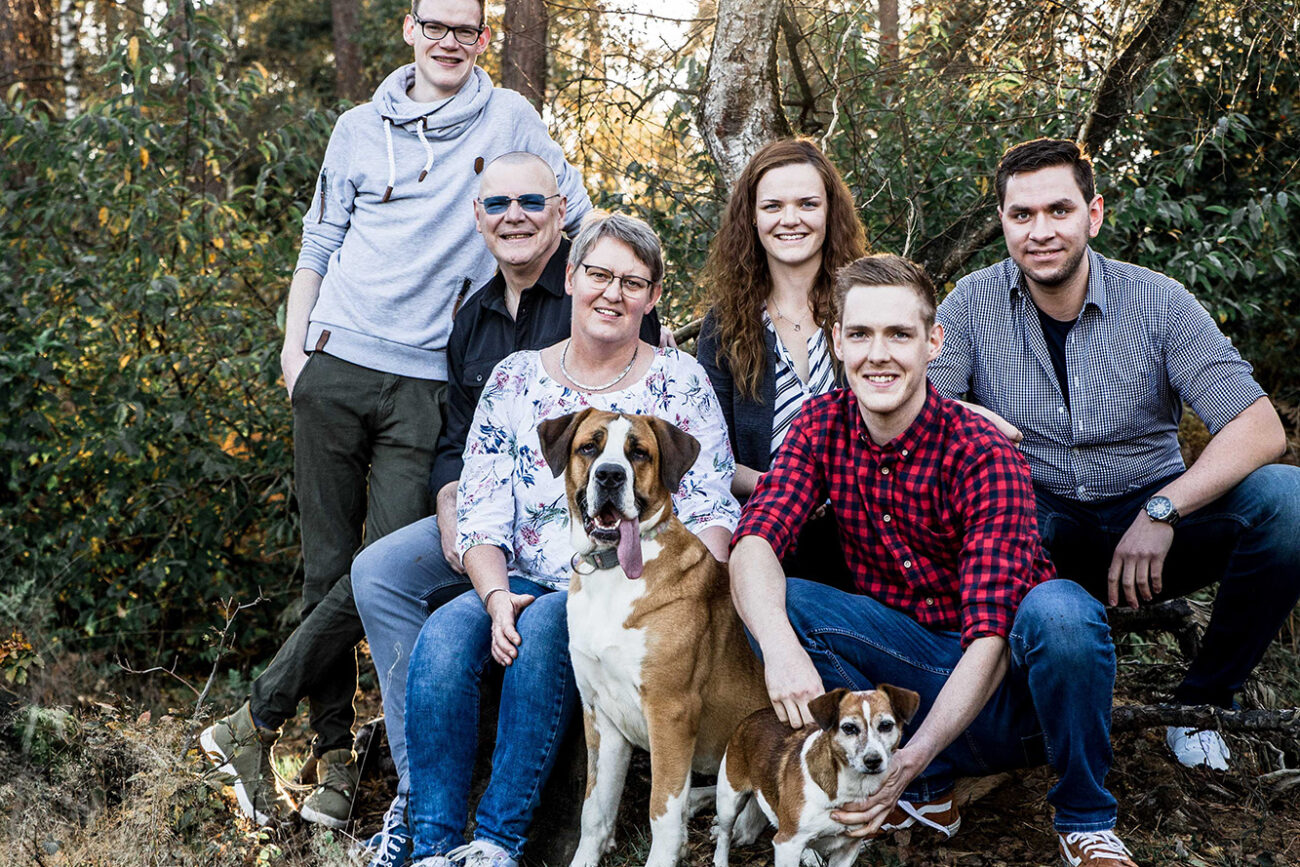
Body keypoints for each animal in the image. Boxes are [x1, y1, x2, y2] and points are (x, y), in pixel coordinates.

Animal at [538, 408, 770, 867]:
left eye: (639, 453)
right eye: (588, 447)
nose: (610, 475)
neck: (611, 575)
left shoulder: (670, 714)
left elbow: (660, 811)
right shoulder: (601, 716)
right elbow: (595, 810)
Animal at [713, 685, 920, 867]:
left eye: (886, 725)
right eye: (849, 728)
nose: (873, 760)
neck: (851, 787)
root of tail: (752, 717)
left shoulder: (848, 847)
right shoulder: (787, 844)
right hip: (728, 801)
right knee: (725, 834)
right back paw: (721, 859)